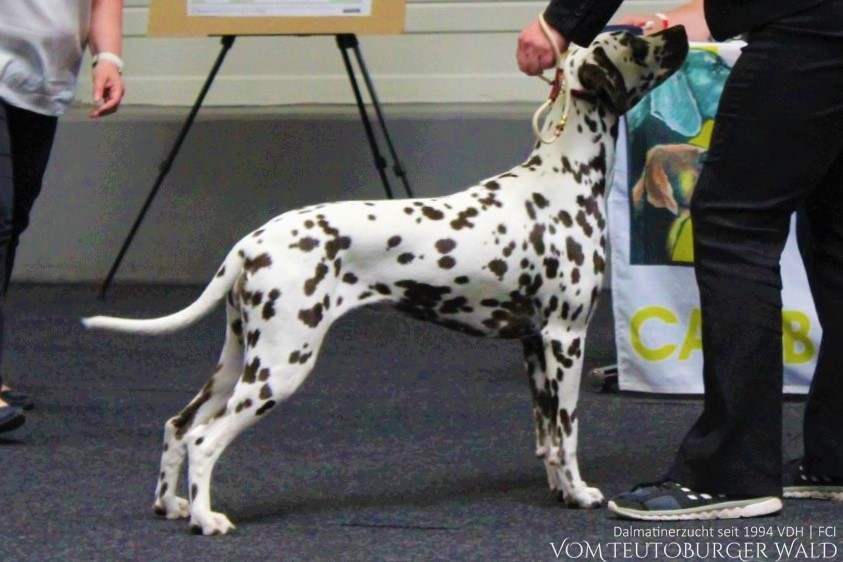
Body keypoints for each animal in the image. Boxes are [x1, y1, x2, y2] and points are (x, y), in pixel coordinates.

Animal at [82, 27, 688, 532]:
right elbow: (569, 430)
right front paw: (583, 494)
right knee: (206, 440)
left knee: (179, 426)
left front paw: (561, 491)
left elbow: (547, 439)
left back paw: (172, 505)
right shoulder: (566, 339)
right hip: (281, 365)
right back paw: (206, 519)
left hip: (238, 361)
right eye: (637, 41)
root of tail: (250, 243)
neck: (560, 177)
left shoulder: (533, 345)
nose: (680, 28)